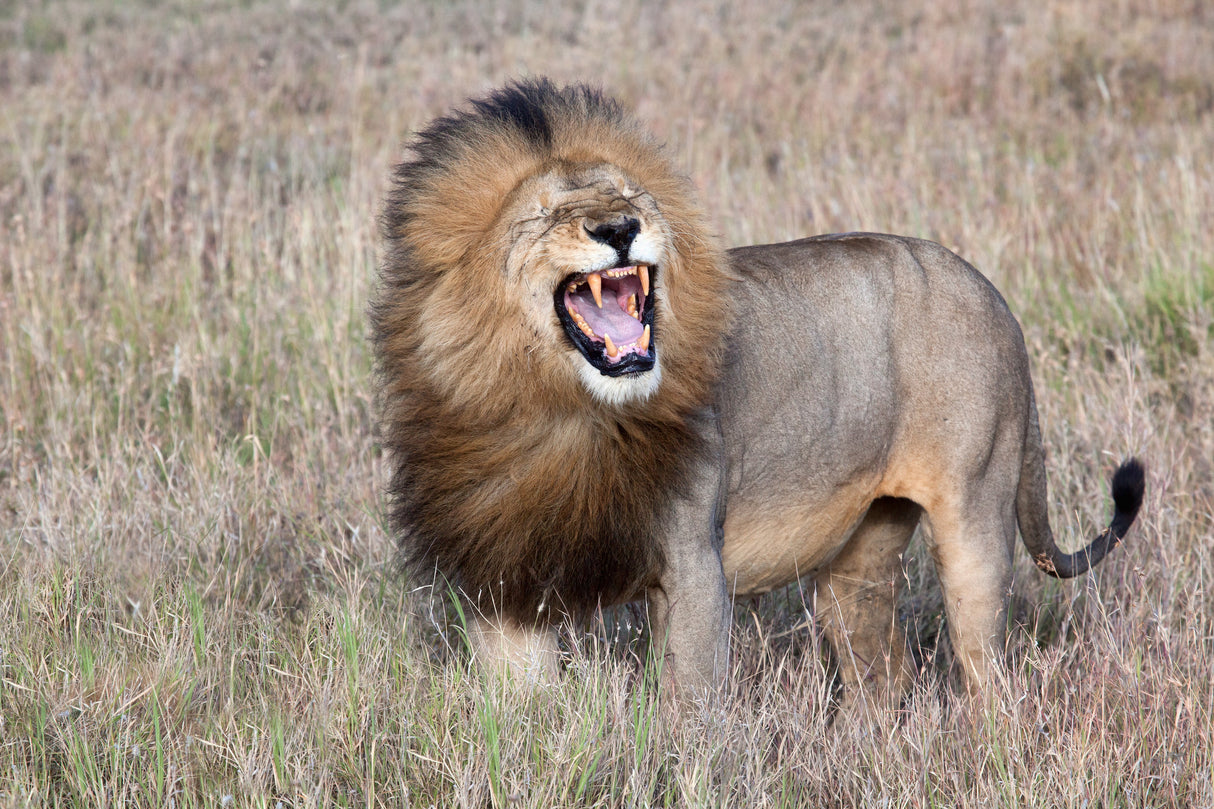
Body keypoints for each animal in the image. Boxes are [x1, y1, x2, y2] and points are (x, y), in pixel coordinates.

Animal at [370, 79, 1145, 709]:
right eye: (541, 215)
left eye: (631, 198)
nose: (619, 228)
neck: (558, 407)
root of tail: (995, 295)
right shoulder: (503, 580)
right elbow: (520, 714)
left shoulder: (691, 563)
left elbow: (689, 709)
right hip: (859, 558)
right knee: (883, 675)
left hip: (975, 516)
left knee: (991, 674)